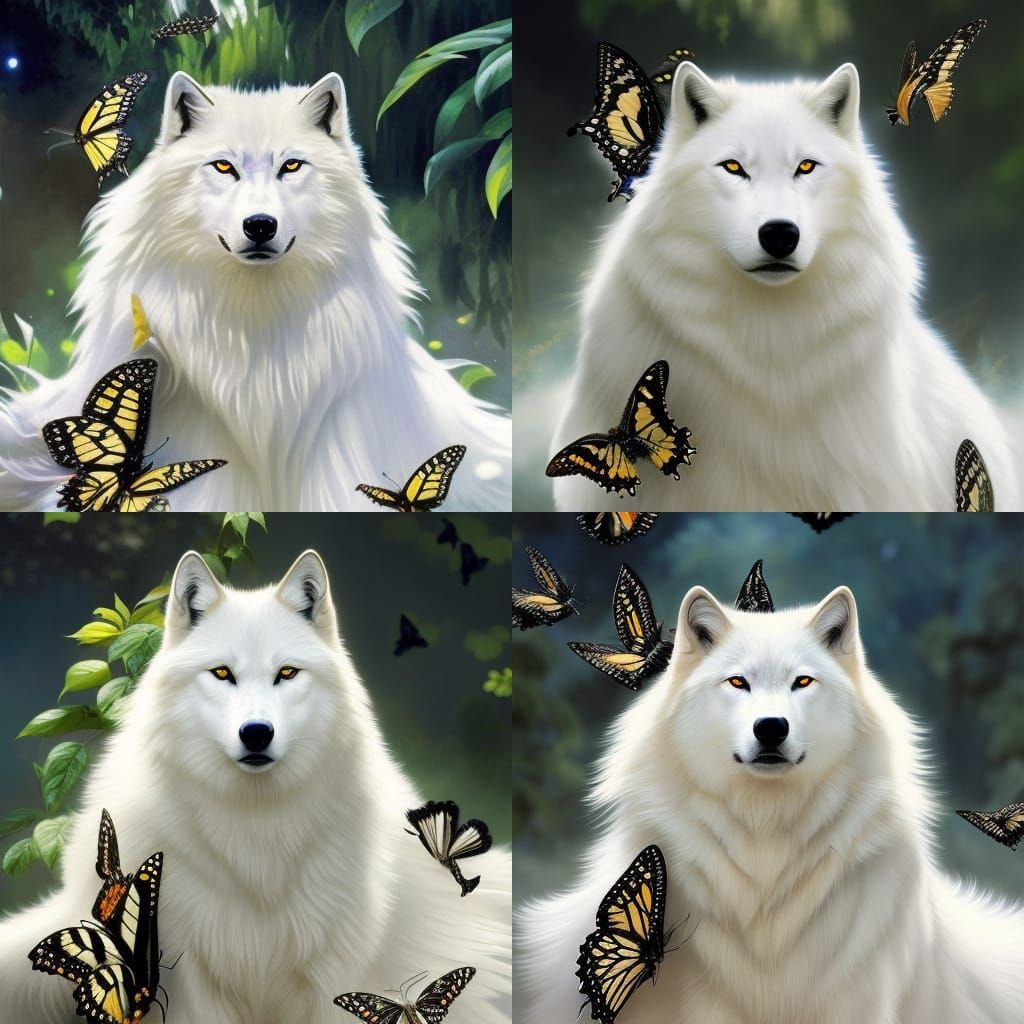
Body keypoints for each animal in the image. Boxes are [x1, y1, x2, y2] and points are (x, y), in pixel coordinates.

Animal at [0, 551, 511, 1023]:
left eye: (286, 673)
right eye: (222, 673)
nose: (257, 733)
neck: (255, 833)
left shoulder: (331, 970)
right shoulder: (192, 975)